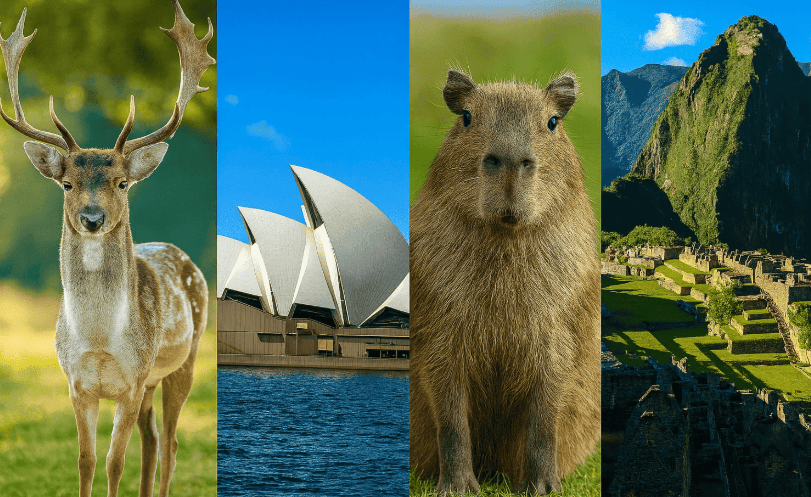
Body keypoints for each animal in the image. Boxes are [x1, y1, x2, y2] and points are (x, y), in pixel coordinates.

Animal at [0, 2, 214, 496]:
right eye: (67, 183)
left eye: (121, 182)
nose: (92, 218)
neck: (98, 340)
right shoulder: (77, 382)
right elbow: (86, 460)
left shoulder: (132, 380)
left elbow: (116, 461)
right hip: (153, 381)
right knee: (152, 439)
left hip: (185, 360)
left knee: (170, 443)